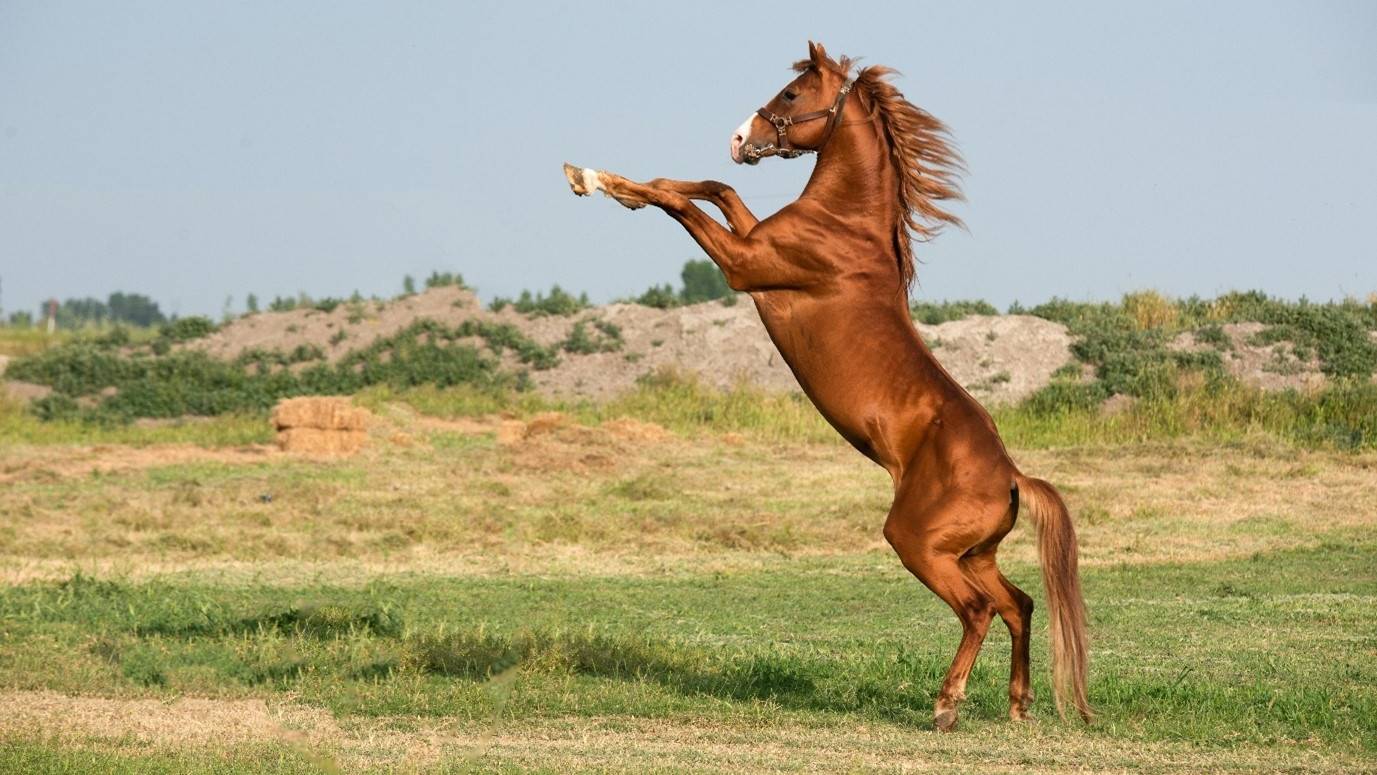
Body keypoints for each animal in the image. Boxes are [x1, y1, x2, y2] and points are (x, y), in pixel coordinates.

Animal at [563, 40, 1091, 731]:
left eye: (791, 95)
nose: (740, 138)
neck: (844, 226)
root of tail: (1012, 478)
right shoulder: (751, 239)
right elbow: (713, 188)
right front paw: (603, 180)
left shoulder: (744, 265)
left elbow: (691, 203)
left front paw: (595, 180)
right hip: (974, 555)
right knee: (1019, 604)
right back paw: (1019, 705)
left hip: (919, 546)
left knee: (978, 610)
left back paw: (946, 705)